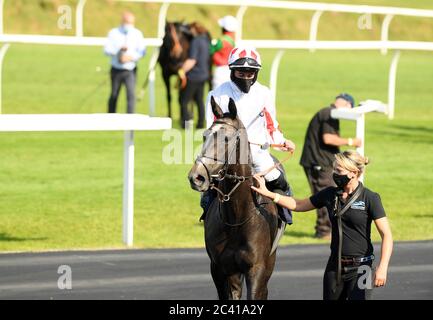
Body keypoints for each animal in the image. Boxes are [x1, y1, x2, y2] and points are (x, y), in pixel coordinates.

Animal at [188, 97, 280, 300]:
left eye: (226, 138)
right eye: (205, 135)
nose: (196, 177)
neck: (236, 218)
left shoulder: (257, 269)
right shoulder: (220, 268)